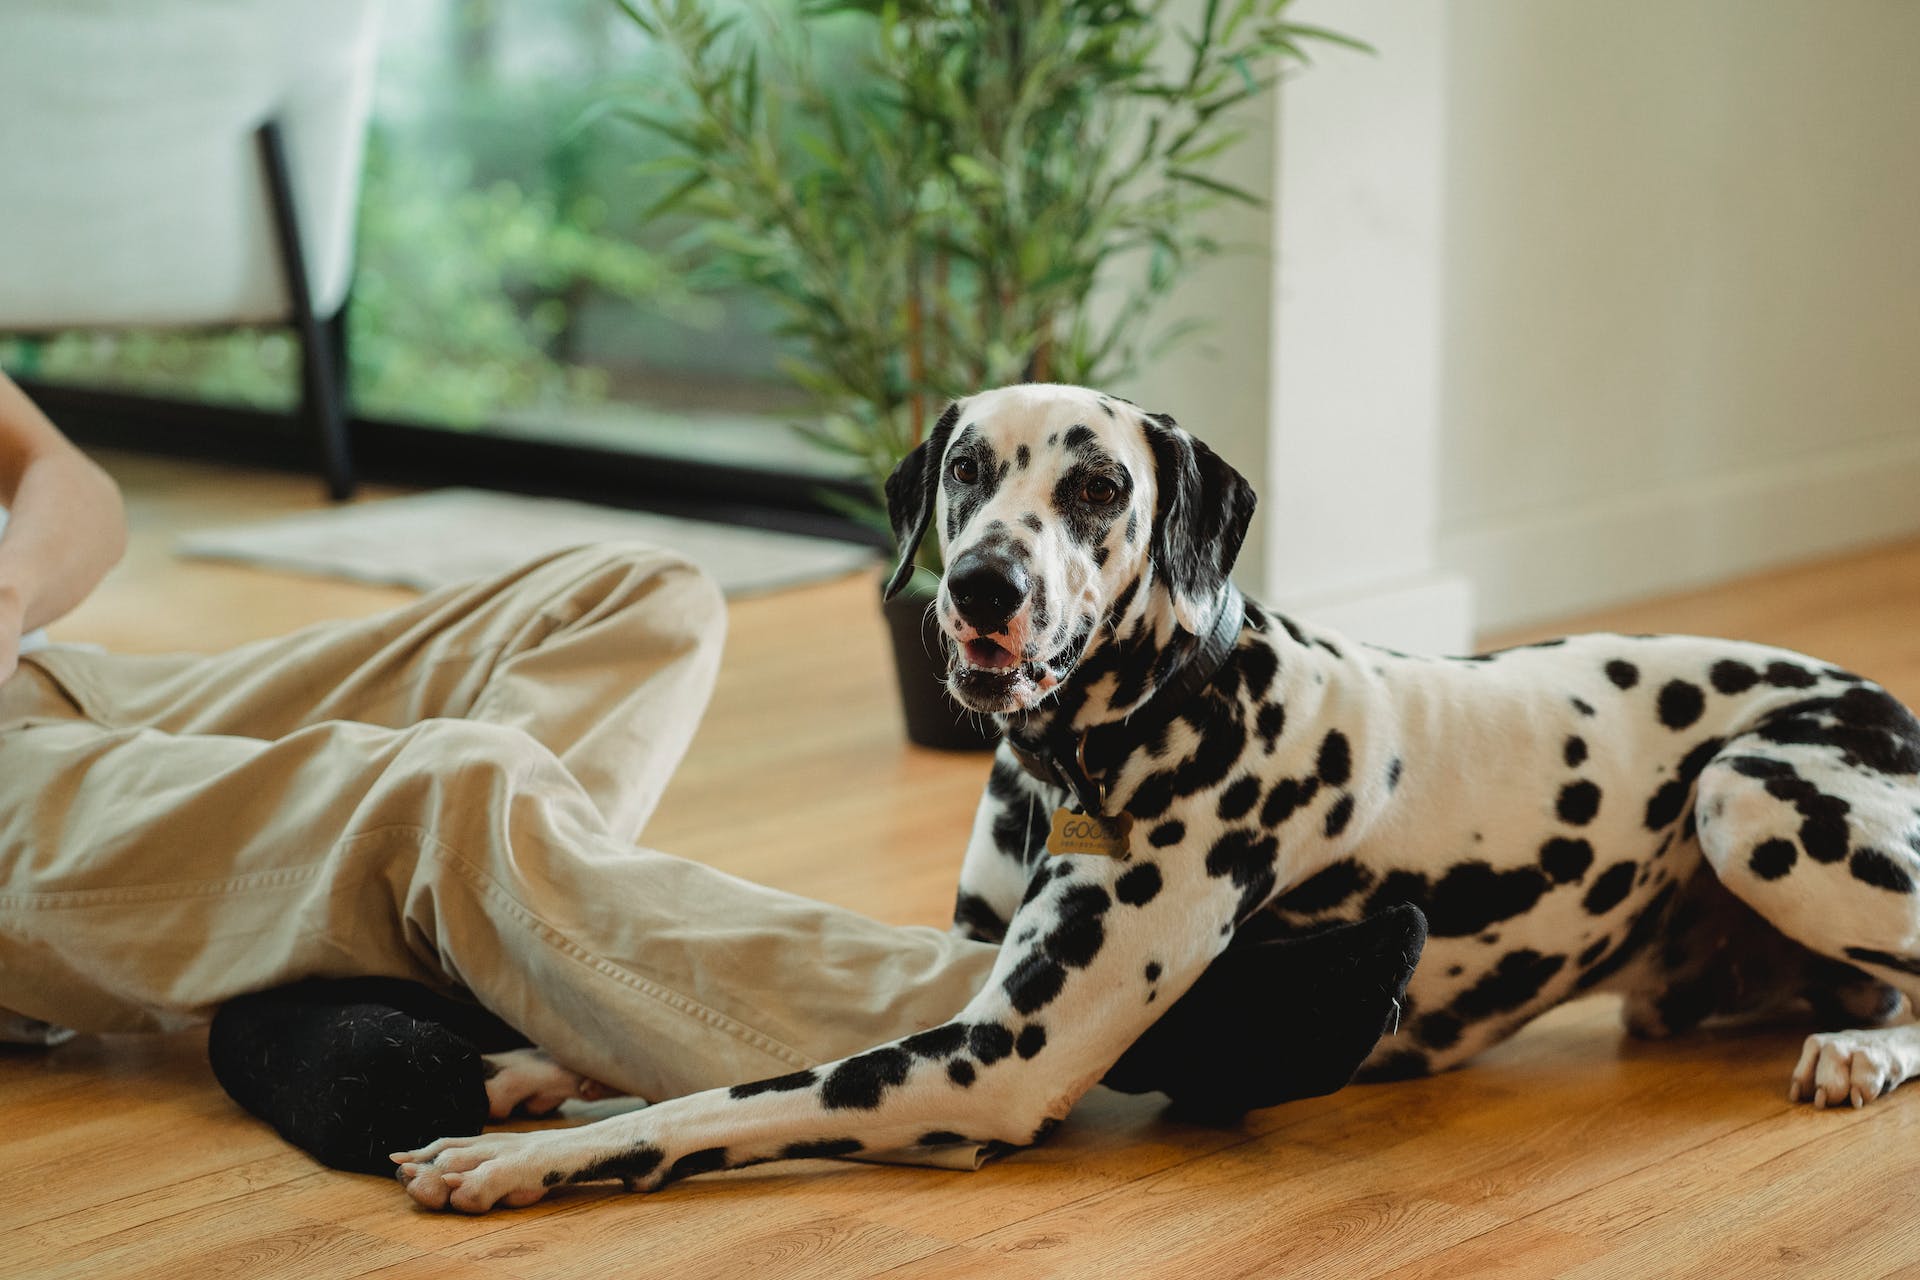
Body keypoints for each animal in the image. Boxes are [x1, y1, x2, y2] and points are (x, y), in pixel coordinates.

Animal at [389, 379, 1920, 1212]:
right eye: (966, 470)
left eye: (1097, 486)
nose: (981, 590)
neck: (1097, 749)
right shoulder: (957, 968)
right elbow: (732, 1017)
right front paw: (525, 1066)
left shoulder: (982, 1063)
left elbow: (723, 1101)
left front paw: (507, 1154)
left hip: (1751, 796)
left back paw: (1861, 1052)